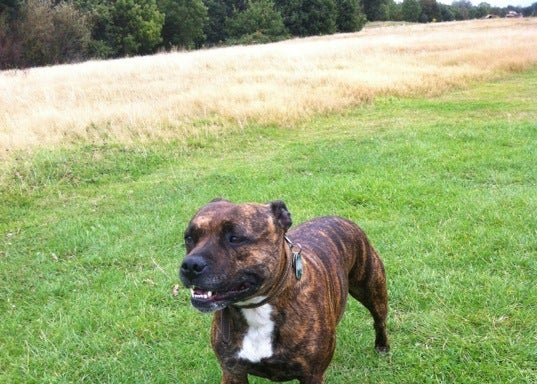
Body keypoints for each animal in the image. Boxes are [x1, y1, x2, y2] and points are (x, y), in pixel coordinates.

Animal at [178, 200, 388, 382]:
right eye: (189, 238)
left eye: (235, 238)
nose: (190, 265)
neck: (257, 308)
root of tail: (340, 219)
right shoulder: (232, 372)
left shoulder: (312, 375)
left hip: (372, 290)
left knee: (379, 321)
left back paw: (382, 346)